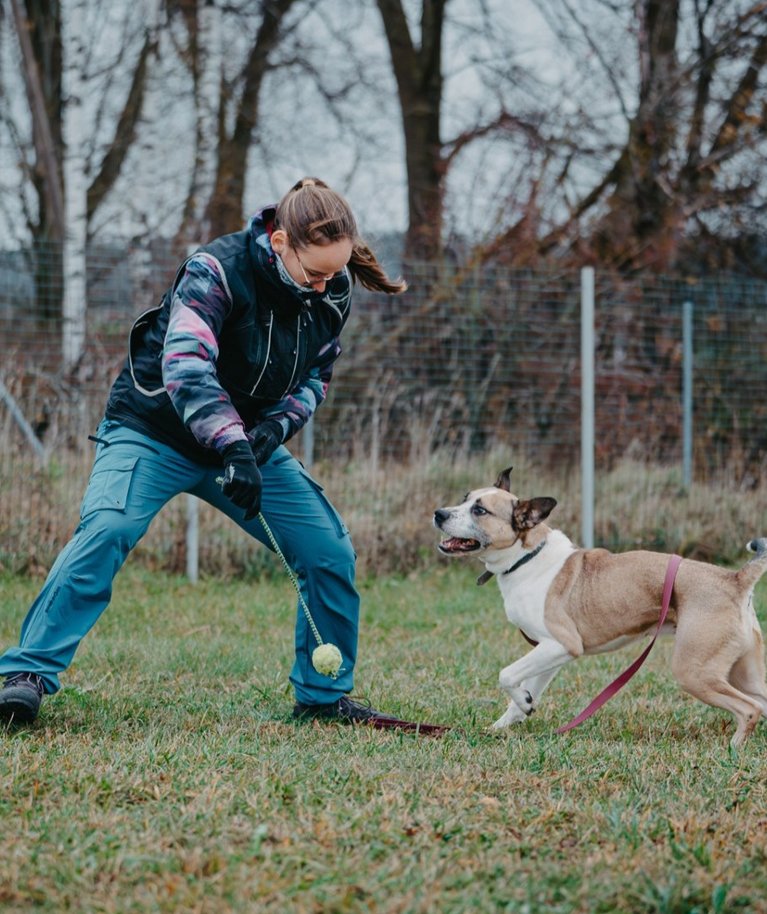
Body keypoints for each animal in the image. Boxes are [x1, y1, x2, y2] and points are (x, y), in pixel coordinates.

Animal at [436, 466, 767, 744]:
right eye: (464, 499)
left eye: (479, 510)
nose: (439, 514)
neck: (526, 556)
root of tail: (735, 580)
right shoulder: (549, 651)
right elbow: (524, 688)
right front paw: (511, 717)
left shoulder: (562, 644)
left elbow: (506, 674)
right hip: (740, 672)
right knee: (760, 701)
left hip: (694, 672)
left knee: (749, 709)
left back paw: (733, 748)